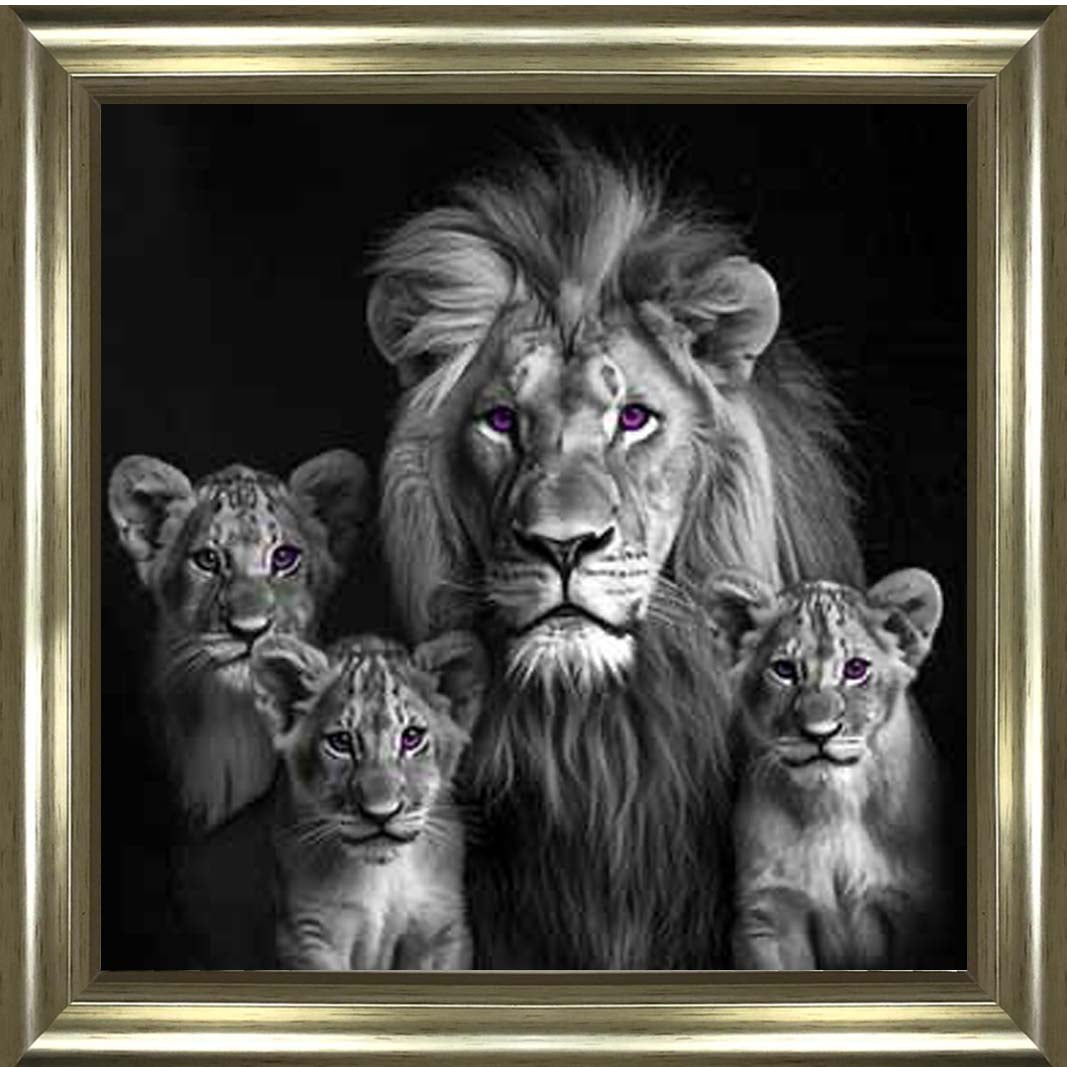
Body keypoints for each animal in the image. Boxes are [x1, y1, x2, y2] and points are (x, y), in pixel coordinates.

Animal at [251, 631, 485, 970]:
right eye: (341, 742)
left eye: (411, 737)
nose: (381, 814)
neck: (382, 875)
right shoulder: (309, 936)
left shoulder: (442, 929)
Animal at [704, 568, 946, 969]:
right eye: (784, 670)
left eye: (856, 669)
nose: (820, 733)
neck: (833, 804)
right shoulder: (770, 912)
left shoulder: (915, 909)